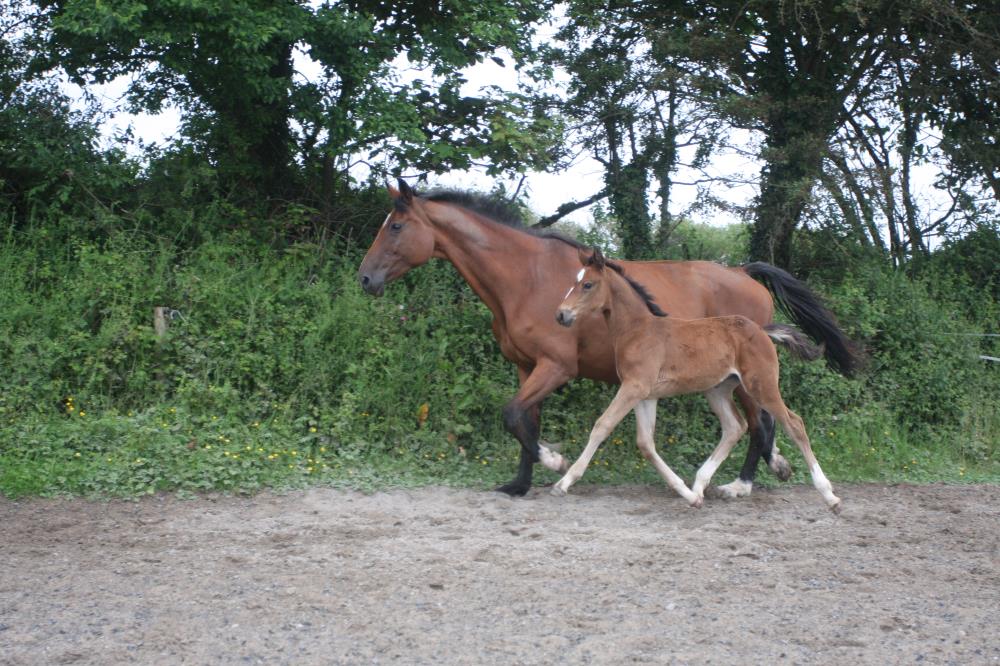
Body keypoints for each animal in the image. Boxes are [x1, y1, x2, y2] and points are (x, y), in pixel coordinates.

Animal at [552, 246, 840, 510]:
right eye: (574, 281)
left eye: (587, 284)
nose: (561, 314)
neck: (638, 330)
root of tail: (762, 330)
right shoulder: (646, 395)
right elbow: (645, 443)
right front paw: (688, 495)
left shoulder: (634, 387)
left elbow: (602, 426)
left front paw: (565, 481)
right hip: (718, 389)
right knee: (735, 426)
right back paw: (700, 485)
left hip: (761, 386)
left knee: (794, 424)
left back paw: (829, 495)